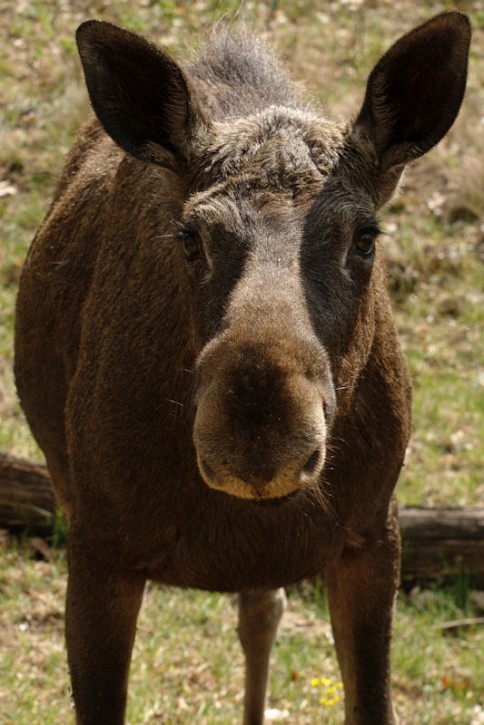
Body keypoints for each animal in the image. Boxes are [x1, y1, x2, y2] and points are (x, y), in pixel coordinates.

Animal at [15, 11, 468, 724]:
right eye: (190, 236)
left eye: (365, 237)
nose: (260, 432)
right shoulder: (96, 546)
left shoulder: (372, 532)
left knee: (261, 607)